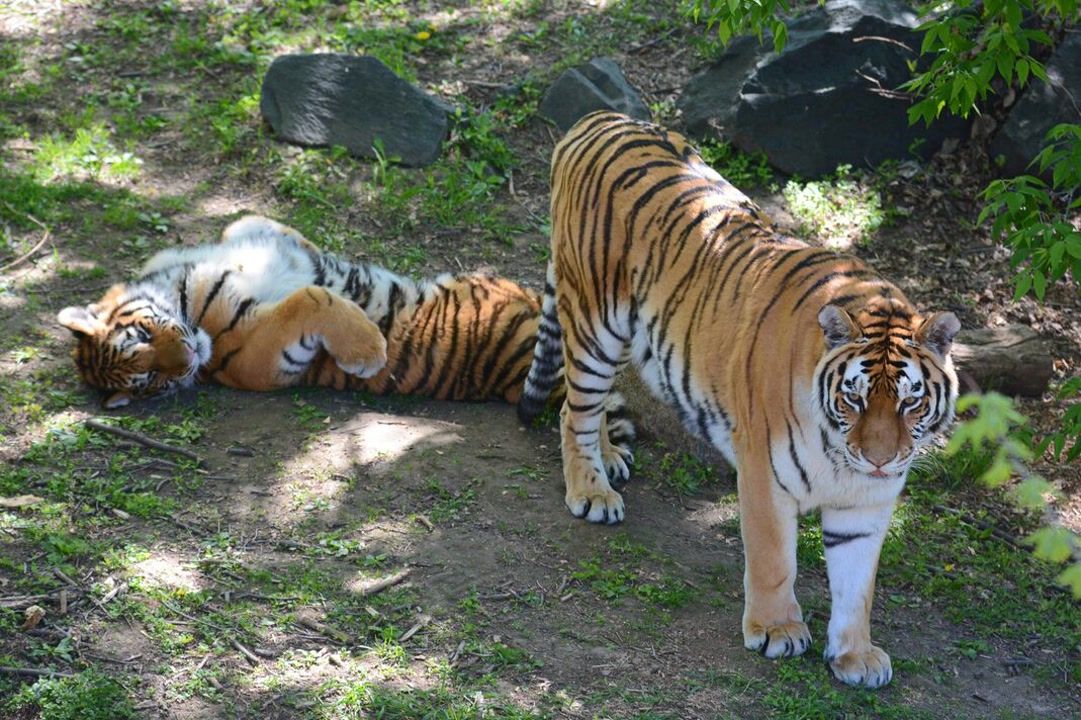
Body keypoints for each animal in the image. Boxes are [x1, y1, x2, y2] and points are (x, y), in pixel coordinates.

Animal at [56, 215, 635, 454]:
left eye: (143, 338)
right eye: (151, 381)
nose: (189, 360)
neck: (180, 285)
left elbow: (250, 222)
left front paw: (305, 245)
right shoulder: (260, 356)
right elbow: (312, 298)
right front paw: (370, 349)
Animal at [516, 112, 960, 688]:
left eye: (910, 402)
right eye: (854, 398)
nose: (880, 459)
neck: (843, 459)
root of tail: (600, 119)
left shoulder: (868, 501)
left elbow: (857, 585)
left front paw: (855, 656)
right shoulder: (765, 475)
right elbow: (774, 559)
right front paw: (777, 630)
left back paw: (609, 460)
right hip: (595, 323)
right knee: (575, 409)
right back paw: (592, 492)